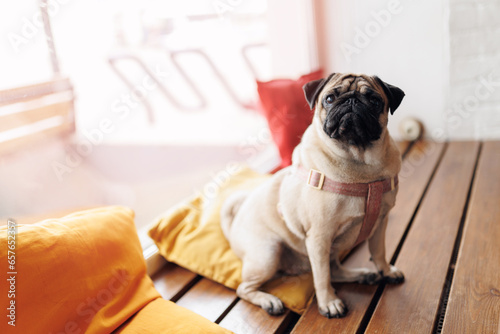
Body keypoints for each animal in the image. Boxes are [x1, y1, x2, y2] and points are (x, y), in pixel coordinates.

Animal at [222, 73, 406, 318]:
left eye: (375, 101)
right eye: (329, 99)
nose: (351, 101)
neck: (360, 164)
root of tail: (233, 228)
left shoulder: (380, 222)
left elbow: (378, 252)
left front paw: (386, 271)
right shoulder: (319, 237)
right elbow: (321, 277)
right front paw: (329, 302)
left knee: (334, 269)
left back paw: (362, 274)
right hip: (267, 253)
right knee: (244, 288)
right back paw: (268, 301)